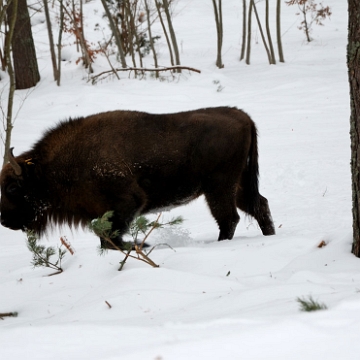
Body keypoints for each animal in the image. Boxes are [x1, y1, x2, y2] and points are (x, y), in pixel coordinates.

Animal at [0, 107, 276, 248]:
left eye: (13, 188)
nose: (3, 220)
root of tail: (243, 117)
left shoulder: (127, 201)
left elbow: (110, 237)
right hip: (237, 184)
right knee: (258, 205)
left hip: (218, 187)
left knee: (229, 218)